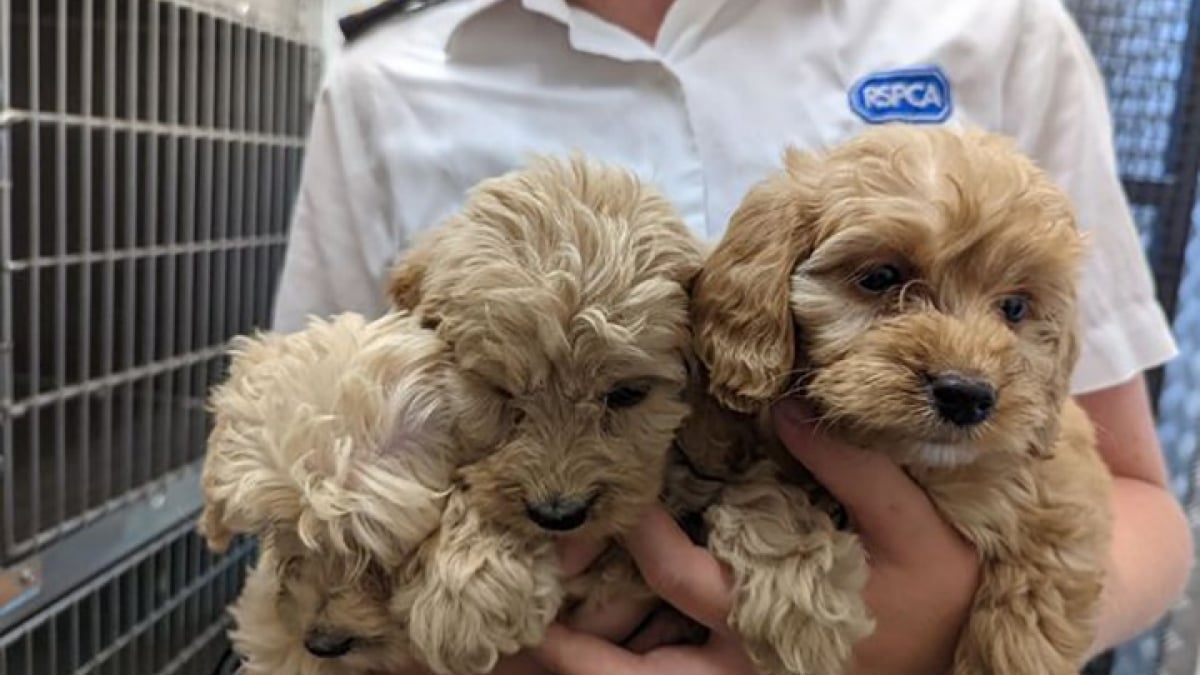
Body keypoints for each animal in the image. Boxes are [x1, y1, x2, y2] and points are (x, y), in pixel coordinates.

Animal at [696, 121, 1113, 672]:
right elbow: (763, 489)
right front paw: (801, 606)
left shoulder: (1071, 487)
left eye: (1015, 308)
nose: (966, 395)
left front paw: (1007, 655)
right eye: (880, 278)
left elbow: (1046, 571)